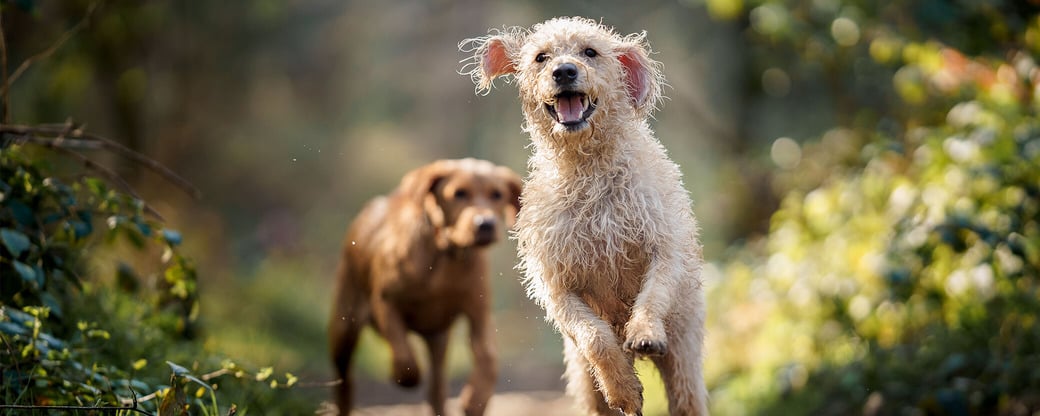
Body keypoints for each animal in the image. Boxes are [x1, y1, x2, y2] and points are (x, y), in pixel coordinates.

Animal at [330, 158, 524, 416]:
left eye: (497, 194)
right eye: (459, 193)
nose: (485, 224)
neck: (445, 253)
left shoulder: (479, 313)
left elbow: (489, 357)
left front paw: (476, 399)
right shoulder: (385, 302)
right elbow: (404, 355)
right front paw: (402, 376)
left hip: (438, 341)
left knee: (437, 389)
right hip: (344, 326)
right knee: (344, 379)